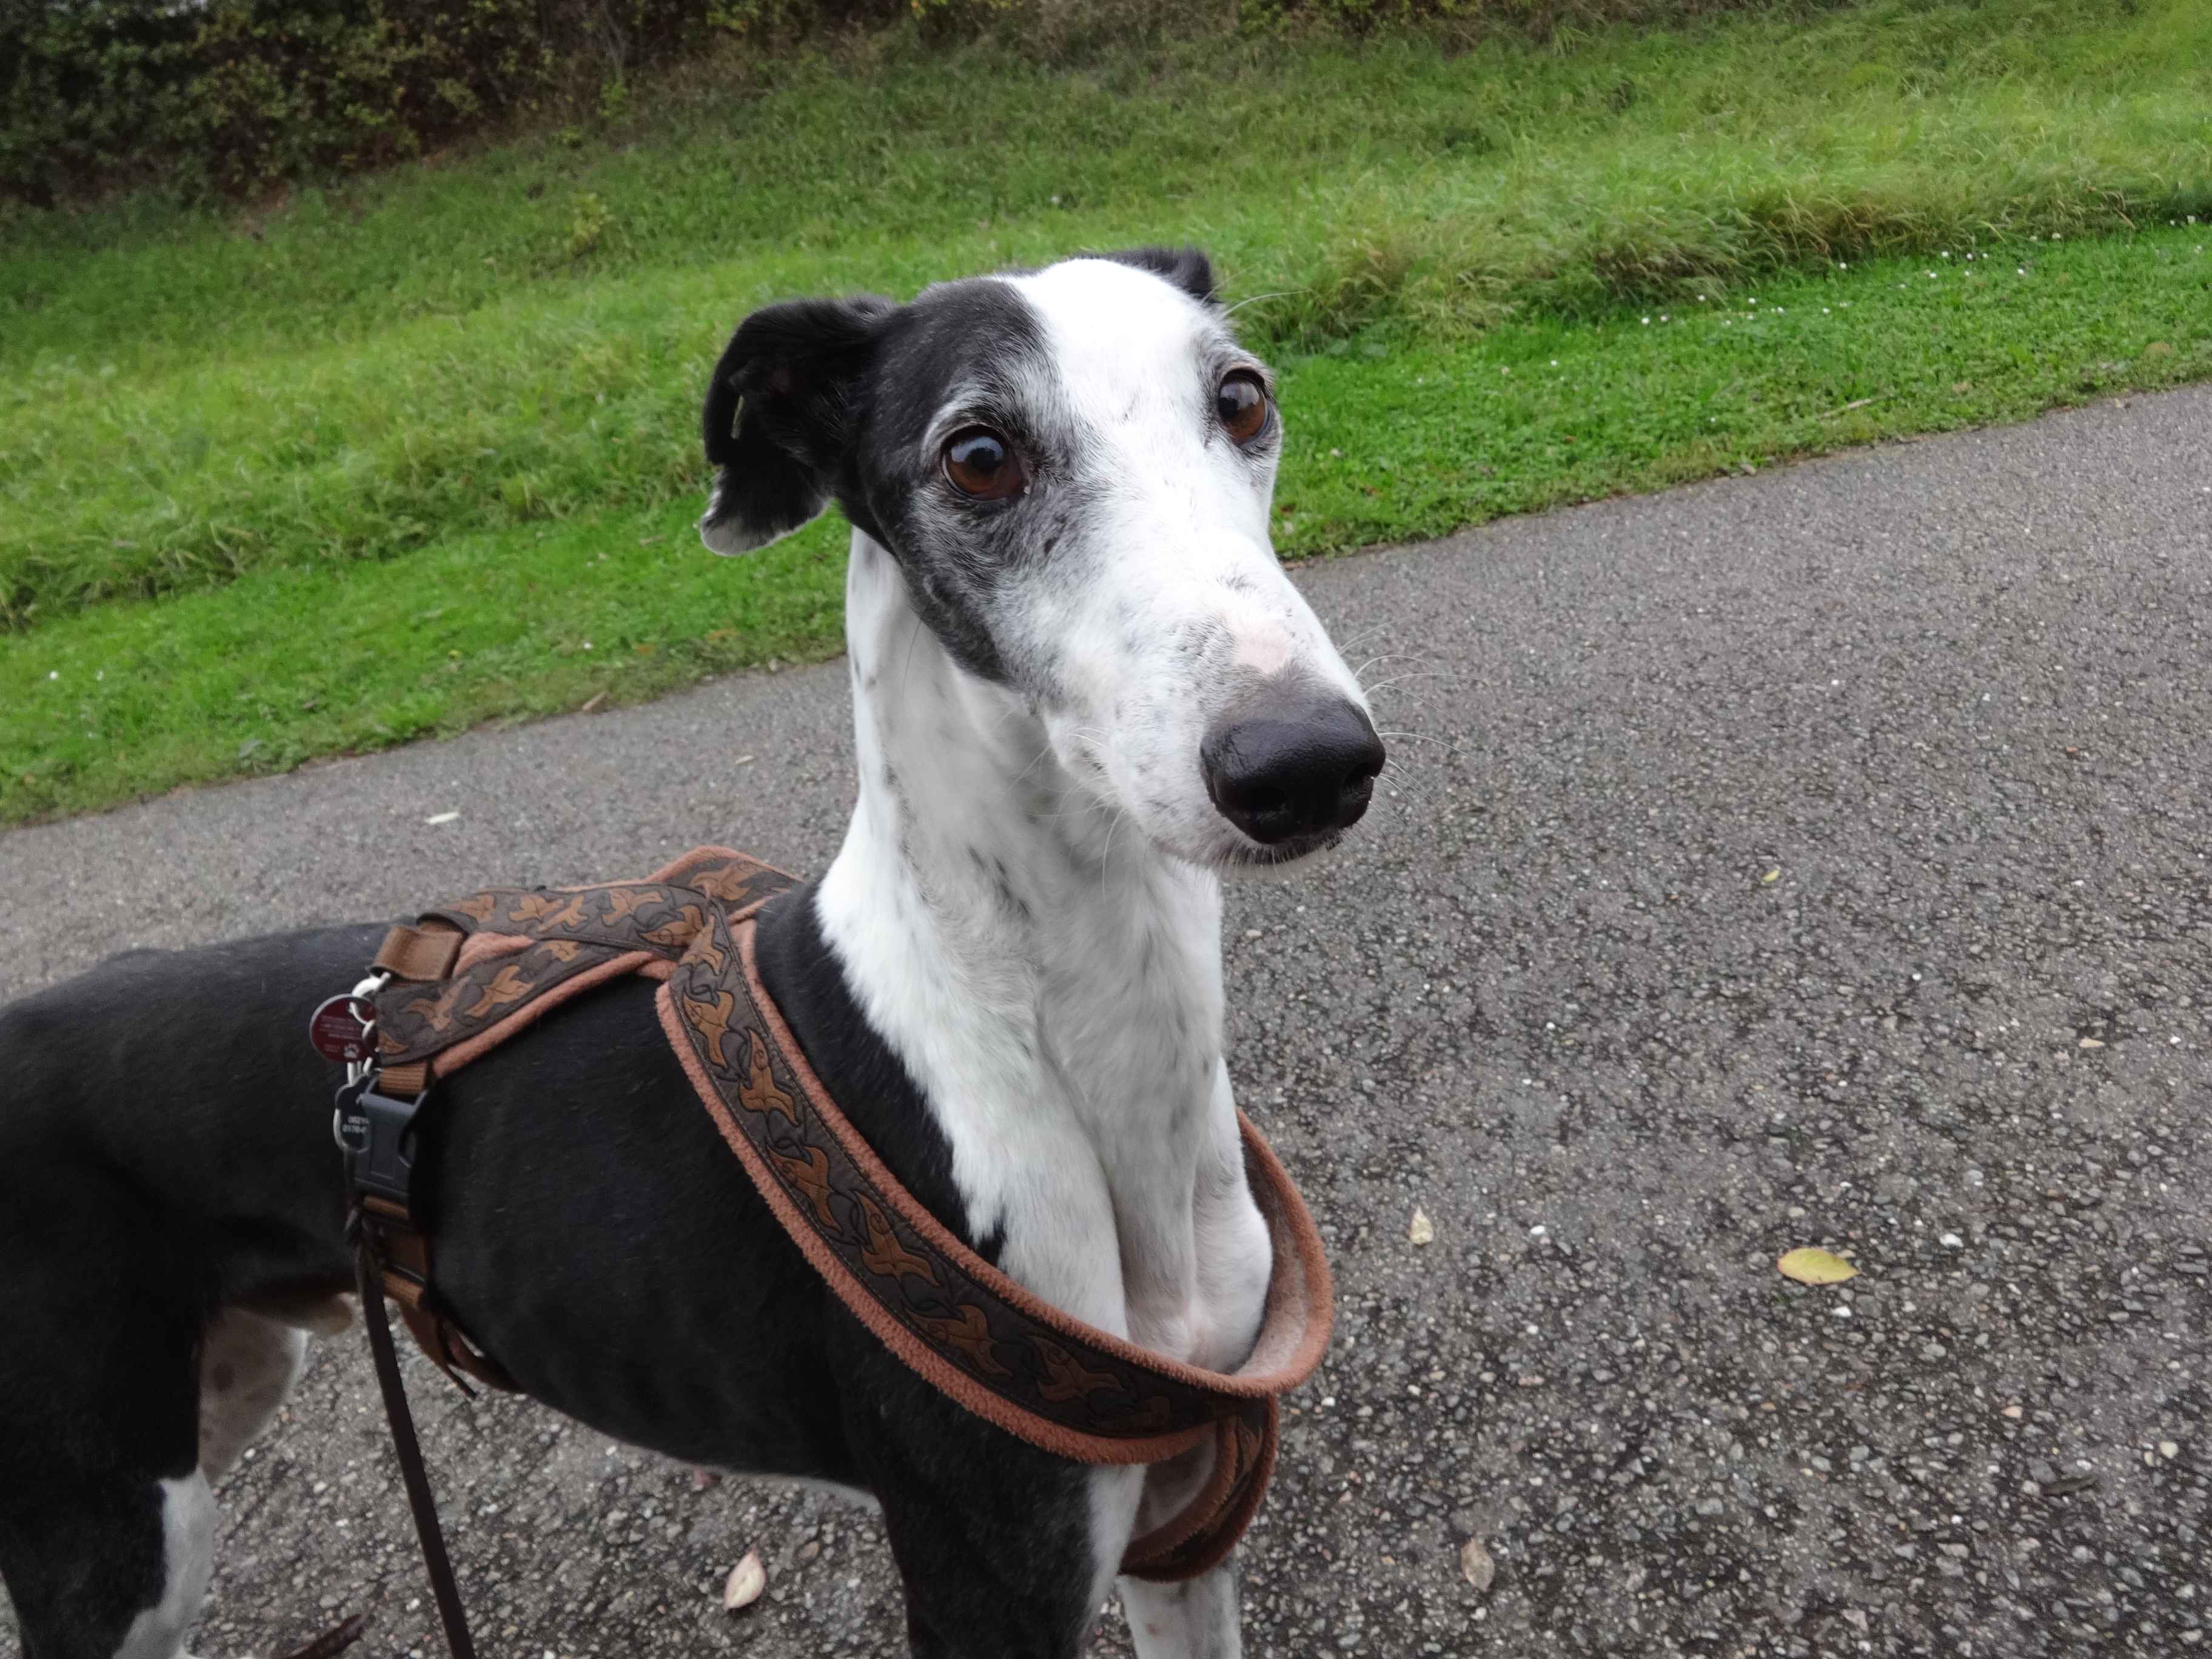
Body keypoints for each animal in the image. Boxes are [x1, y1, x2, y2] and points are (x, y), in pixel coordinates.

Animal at [0, 246, 1385, 1659]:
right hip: (114, 1533)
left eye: (1241, 396)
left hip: (220, 1397)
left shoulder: (1180, 1541)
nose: (1304, 762)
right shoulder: (992, 1575)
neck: (1062, 1047)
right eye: (980, 455)